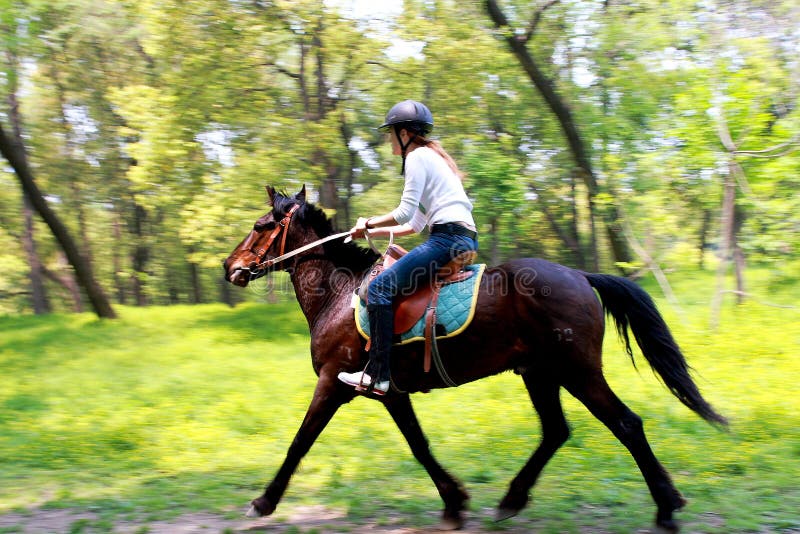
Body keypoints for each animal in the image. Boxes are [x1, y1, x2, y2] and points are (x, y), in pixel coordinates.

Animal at [223, 185, 727, 532]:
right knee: (556, 431)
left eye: (261, 225)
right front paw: (454, 501)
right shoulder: (388, 391)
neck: (341, 292)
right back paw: (512, 499)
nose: (231, 267)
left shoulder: (332, 382)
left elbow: (299, 442)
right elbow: (419, 445)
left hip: (577, 371)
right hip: (540, 373)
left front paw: (264, 501)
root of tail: (582, 276)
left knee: (626, 424)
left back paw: (666, 507)